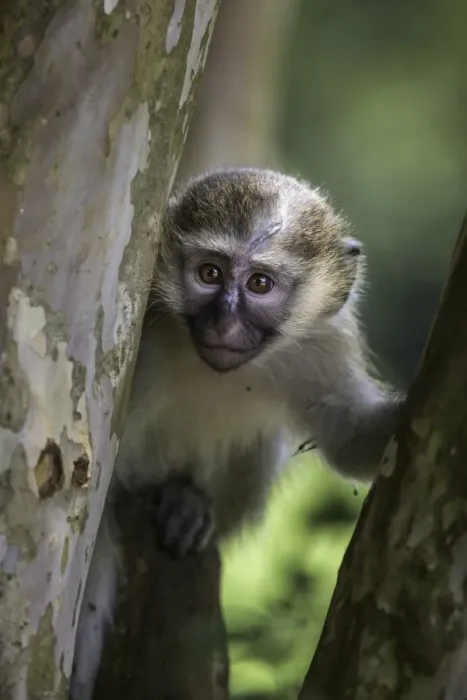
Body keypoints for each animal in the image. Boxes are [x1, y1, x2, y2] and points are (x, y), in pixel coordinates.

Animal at [70, 167, 403, 699]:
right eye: (210, 274)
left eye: (260, 283)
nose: (225, 321)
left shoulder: (321, 346)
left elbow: (346, 434)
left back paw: (188, 502)